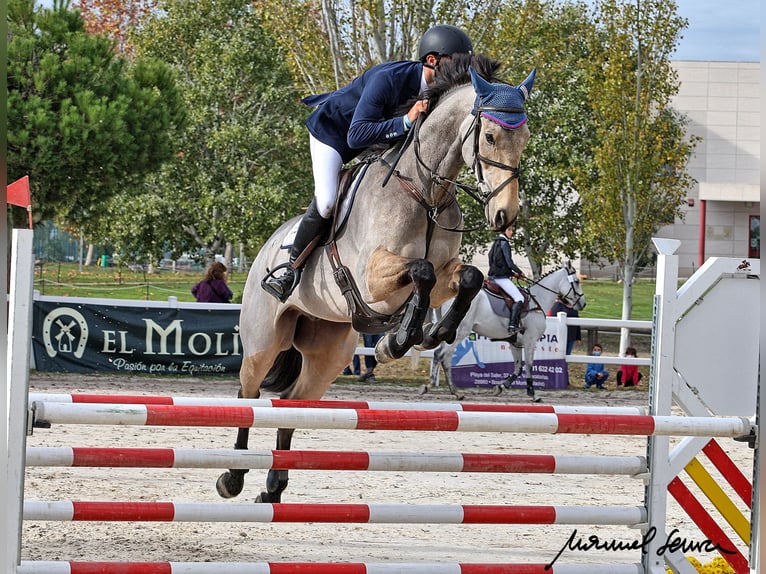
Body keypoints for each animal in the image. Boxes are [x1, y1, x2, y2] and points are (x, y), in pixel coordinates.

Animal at [216, 54, 536, 504]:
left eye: (524, 139)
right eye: (490, 136)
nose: (504, 216)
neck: (425, 191)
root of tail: (266, 248)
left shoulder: (444, 273)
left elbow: (469, 276)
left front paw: (421, 336)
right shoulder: (373, 278)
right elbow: (418, 272)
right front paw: (400, 339)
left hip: (328, 350)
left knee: (295, 401)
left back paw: (273, 488)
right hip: (263, 343)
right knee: (249, 396)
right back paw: (233, 476)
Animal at [426, 260, 588, 400]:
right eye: (577, 282)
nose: (583, 304)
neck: (538, 300)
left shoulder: (515, 343)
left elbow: (518, 368)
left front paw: (500, 387)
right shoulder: (530, 340)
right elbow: (529, 365)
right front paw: (533, 393)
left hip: (450, 334)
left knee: (444, 357)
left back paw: (454, 391)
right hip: (460, 332)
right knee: (441, 355)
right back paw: (432, 386)